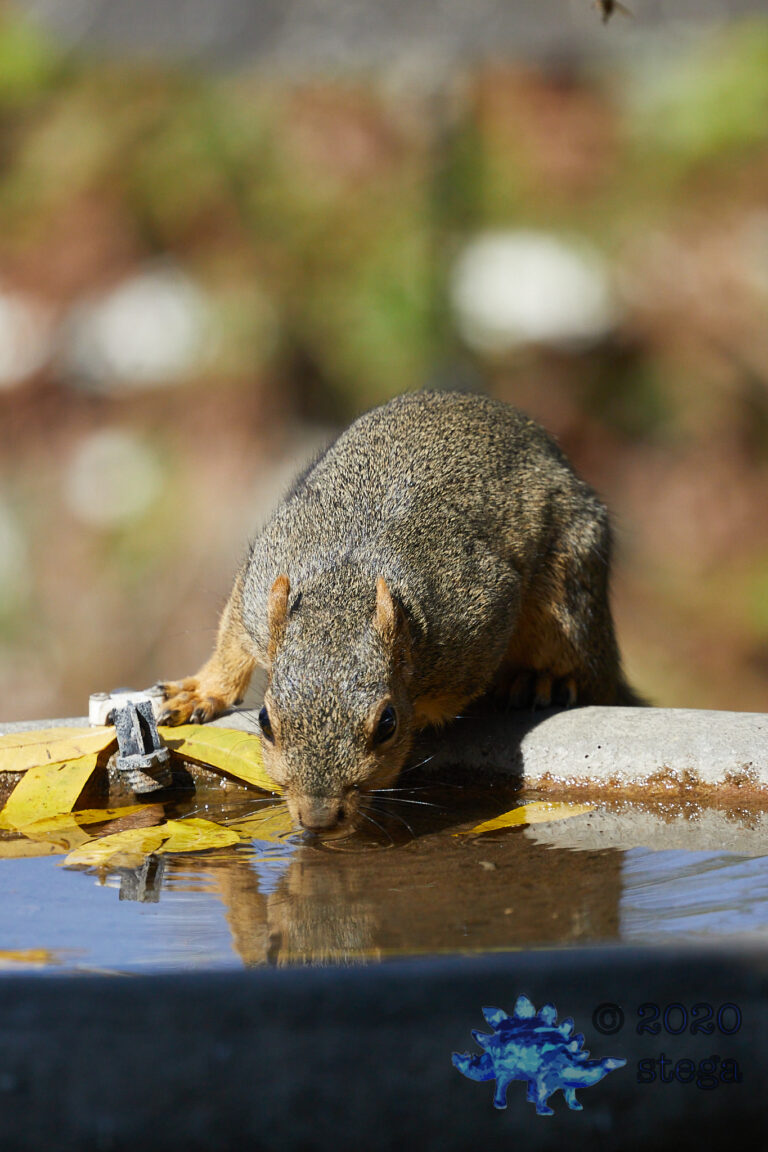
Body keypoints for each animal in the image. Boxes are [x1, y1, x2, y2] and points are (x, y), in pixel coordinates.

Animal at [158, 390, 641, 832]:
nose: (318, 819)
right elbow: (231, 646)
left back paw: (544, 678)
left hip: (570, 590)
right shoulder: (258, 590)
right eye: (264, 722)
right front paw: (199, 693)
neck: (346, 586)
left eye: (387, 723)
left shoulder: (476, 619)